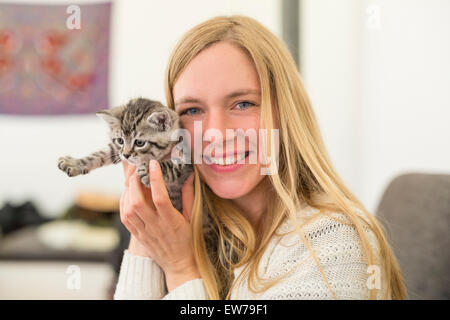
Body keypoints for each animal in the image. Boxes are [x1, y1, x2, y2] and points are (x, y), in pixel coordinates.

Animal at [57, 97, 192, 212]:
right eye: (120, 141)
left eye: (139, 142)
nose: (126, 155)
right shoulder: (117, 151)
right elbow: (102, 154)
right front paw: (74, 163)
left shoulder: (187, 158)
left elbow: (172, 165)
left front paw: (147, 170)